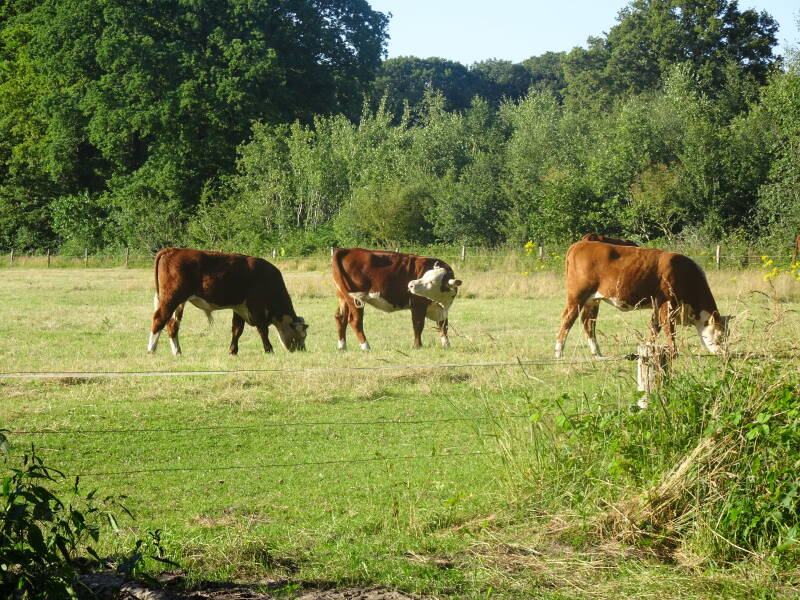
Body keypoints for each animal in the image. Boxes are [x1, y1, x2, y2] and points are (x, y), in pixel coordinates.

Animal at [147, 248, 308, 356]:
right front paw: (269, 350)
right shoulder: (256, 307)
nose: (303, 350)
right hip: (171, 298)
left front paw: (233, 351)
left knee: (172, 325)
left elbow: (237, 330)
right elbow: (262, 330)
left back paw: (177, 352)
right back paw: (151, 350)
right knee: (159, 320)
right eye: (302, 336)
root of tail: (173, 250)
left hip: (177, 303)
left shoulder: (239, 307)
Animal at [332, 248, 462, 350]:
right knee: (355, 321)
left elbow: (443, 325)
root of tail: (347, 250)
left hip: (343, 297)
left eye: (431, 281)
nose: (411, 284)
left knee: (340, 318)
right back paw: (366, 346)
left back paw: (342, 346)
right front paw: (417, 346)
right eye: (424, 276)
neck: (441, 302)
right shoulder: (418, 305)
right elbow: (418, 325)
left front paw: (446, 344)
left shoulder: (441, 309)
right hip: (355, 298)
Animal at [555, 241, 731, 358]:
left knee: (588, 322)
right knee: (567, 319)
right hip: (577, 296)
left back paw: (597, 352)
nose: (725, 353)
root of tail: (581, 243)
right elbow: (669, 329)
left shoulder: (657, 305)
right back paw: (559, 351)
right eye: (720, 335)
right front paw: (674, 352)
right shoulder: (668, 303)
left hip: (592, 300)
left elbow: (654, 327)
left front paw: (648, 349)